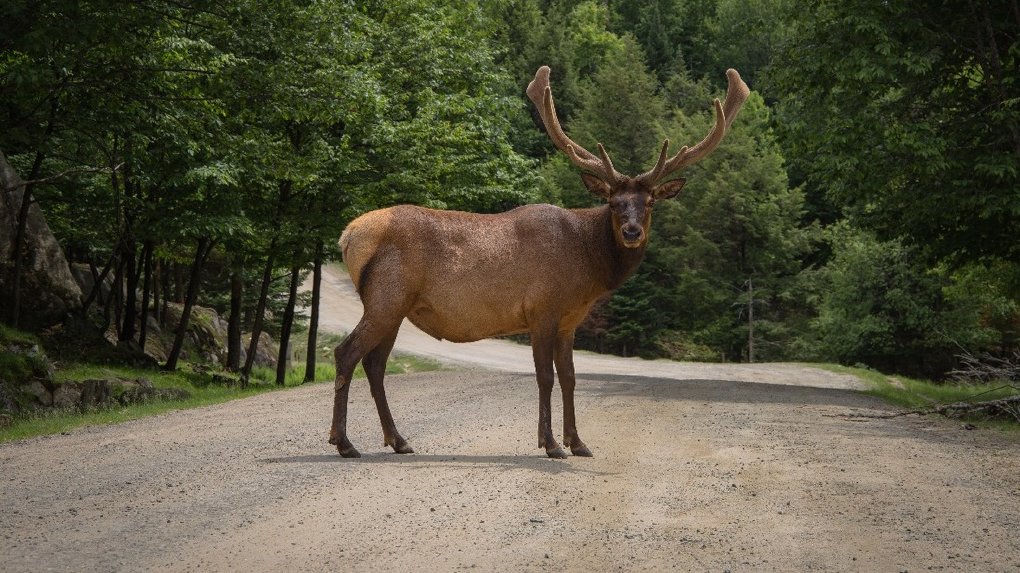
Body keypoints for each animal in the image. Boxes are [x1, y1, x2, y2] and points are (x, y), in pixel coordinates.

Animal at [328, 64, 750, 456]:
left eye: (649, 204)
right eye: (614, 202)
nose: (632, 232)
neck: (587, 269)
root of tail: (348, 235)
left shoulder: (569, 321)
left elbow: (570, 377)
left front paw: (578, 442)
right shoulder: (541, 308)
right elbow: (545, 377)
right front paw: (550, 444)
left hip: (394, 306)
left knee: (375, 364)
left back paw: (398, 440)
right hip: (386, 297)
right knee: (346, 353)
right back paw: (344, 441)